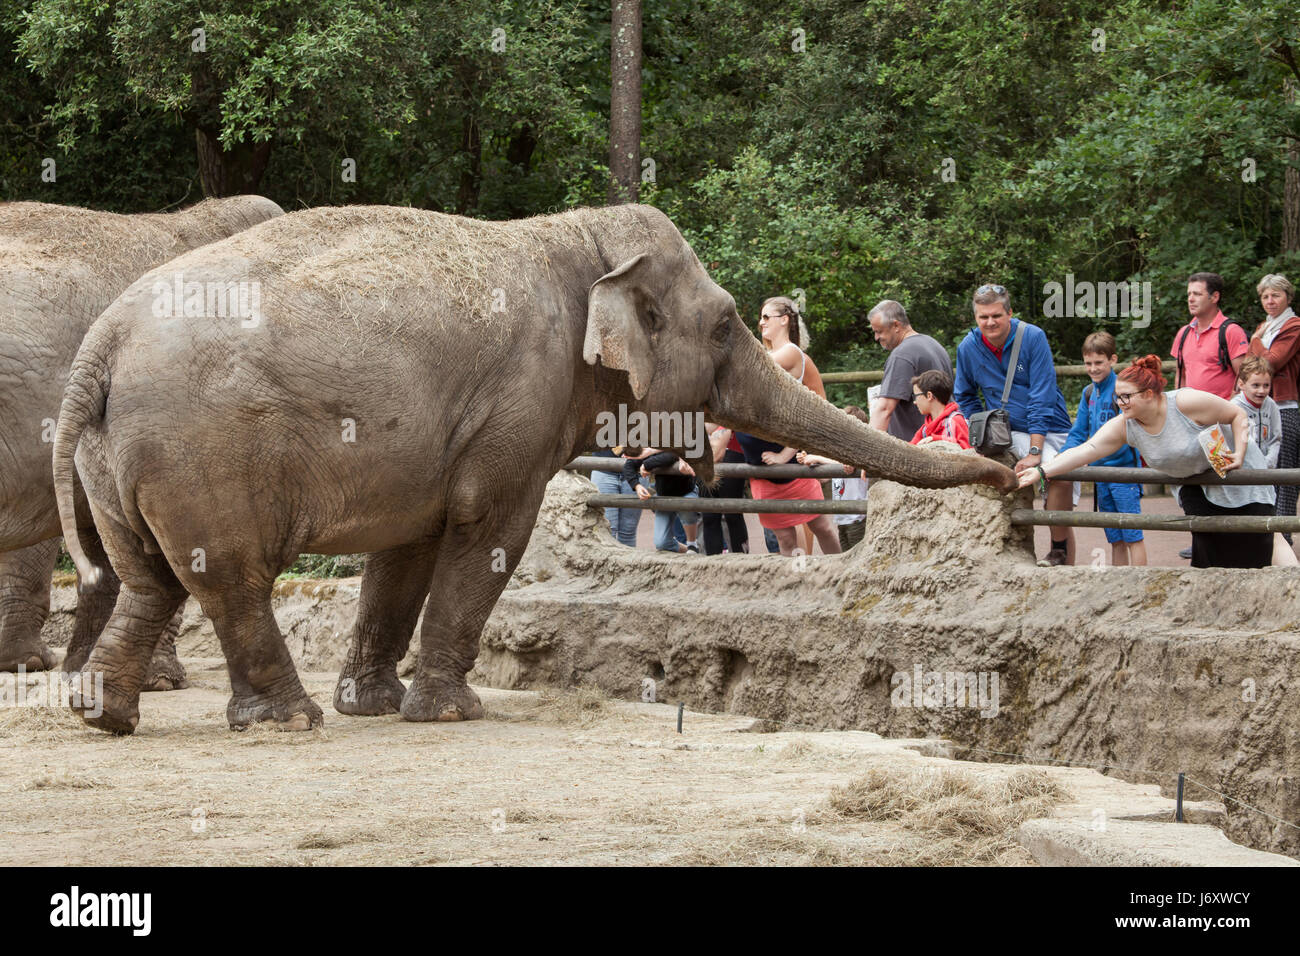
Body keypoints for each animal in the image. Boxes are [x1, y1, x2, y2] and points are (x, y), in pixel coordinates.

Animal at [53, 205, 1013, 738]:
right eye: (725, 325)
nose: (1004, 462)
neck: (578, 232)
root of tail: (99, 348)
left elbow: (409, 547)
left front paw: (378, 704)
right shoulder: (521, 398)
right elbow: (489, 534)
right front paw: (450, 713)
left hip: (128, 460)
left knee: (153, 577)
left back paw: (105, 716)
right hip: (199, 453)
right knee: (231, 578)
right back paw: (287, 722)